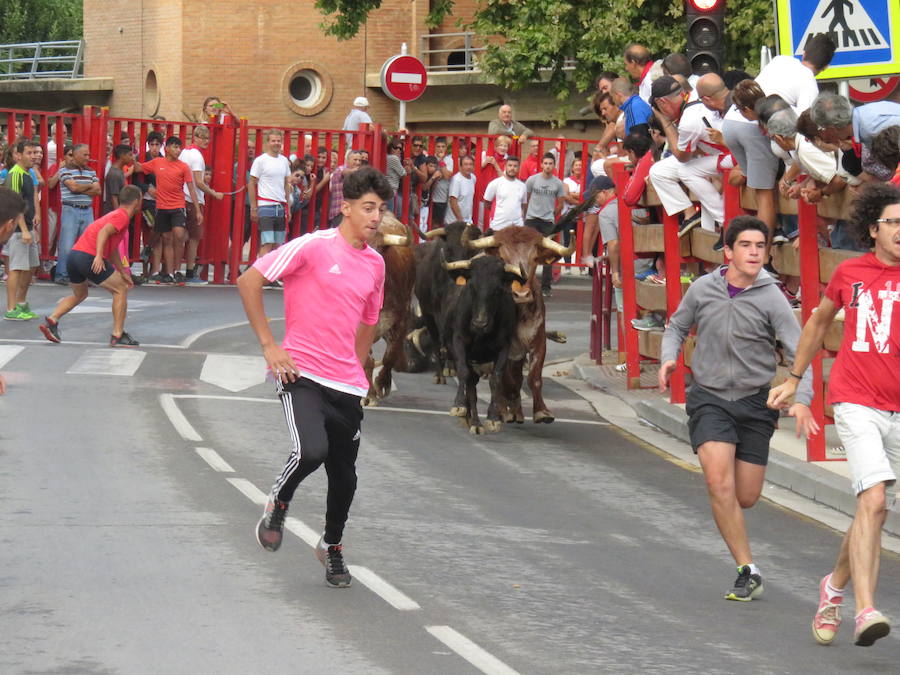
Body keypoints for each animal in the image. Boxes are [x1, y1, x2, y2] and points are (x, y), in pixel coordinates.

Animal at [362, 214, 414, 404]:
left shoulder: (402, 319)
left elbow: (390, 356)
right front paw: (369, 394)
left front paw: (382, 384)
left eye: (377, 253)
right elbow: (367, 360)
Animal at [468, 230, 572, 426]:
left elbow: (533, 377)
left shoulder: (538, 343)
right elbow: (505, 381)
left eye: (534, 259)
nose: (522, 294)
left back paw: (516, 411)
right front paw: (506, 408)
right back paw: (504, 410)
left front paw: (542, 412)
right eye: (504, 259)